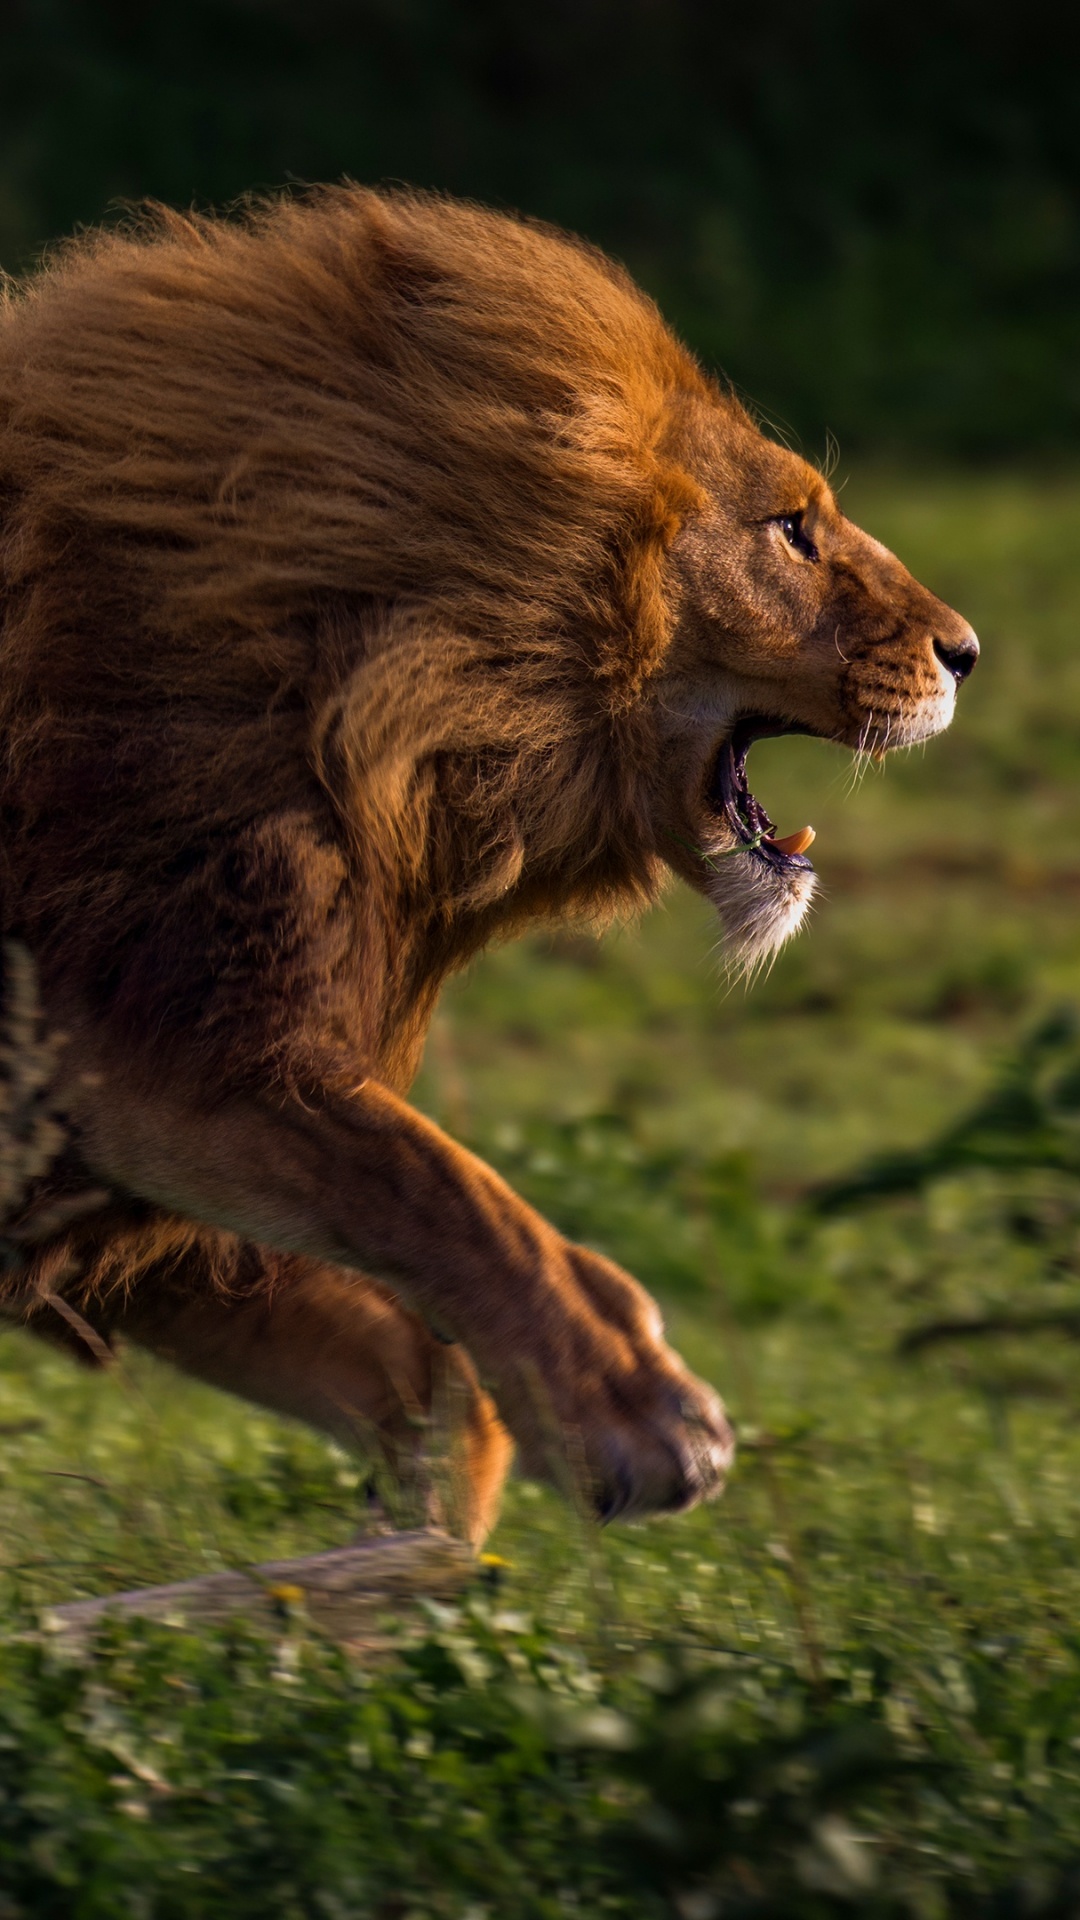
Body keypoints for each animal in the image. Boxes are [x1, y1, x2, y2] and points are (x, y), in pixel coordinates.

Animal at [0, 188, 977, 1544]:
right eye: (792, 527)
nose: (968, 649)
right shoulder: (160, 1038)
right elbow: (432, 1183)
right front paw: (633, 1407)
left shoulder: (102, 1159)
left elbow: (384, 1335)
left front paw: (426, 1531)